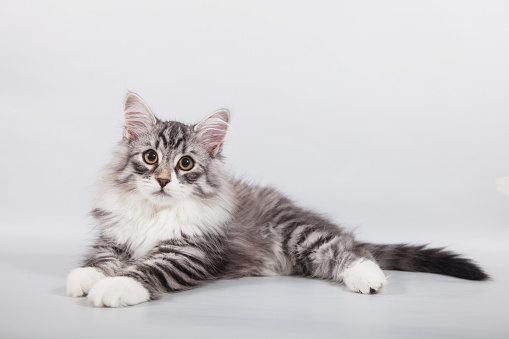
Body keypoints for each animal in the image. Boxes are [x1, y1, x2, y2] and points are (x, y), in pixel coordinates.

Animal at [65, 92, 486, 308]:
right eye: (151, 157)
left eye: (186, 163)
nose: (164, 181)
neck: (156, 212)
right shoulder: (116, 235)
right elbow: (103, 258)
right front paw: (86, 277)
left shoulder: (190, 252)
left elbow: (148, 269)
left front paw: (115, 287)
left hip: (297, 233)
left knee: (347, 246)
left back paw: (368, 277)